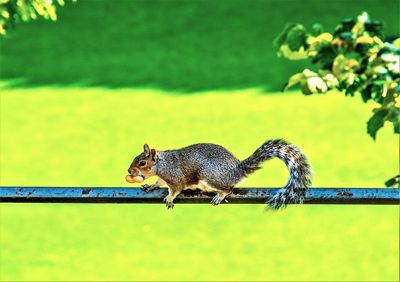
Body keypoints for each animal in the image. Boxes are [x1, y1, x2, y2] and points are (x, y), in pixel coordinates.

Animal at [126, 139, 312, 209]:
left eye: (142, 163)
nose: (129, 171)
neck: (162, 164)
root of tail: (237, 169)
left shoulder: (174, 176)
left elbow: (176, 188)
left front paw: (170, 197)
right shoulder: (163, 177)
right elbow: (159, 183)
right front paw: (150, 186)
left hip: (209, 176)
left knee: (228, 189)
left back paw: (219, 196)